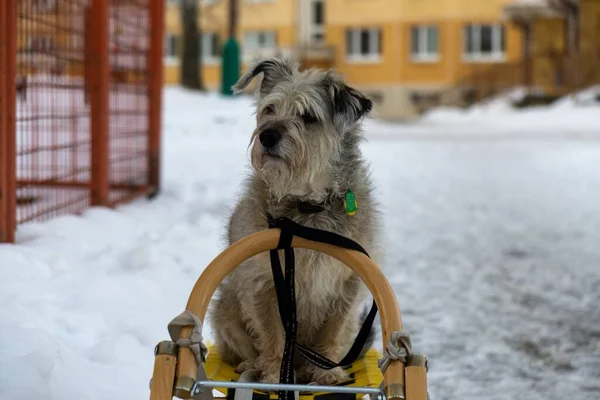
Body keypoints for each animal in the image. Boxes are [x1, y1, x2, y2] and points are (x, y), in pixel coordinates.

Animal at [209, 57, 382, 386]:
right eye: (269, 109)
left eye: (308, 116)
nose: (267, 136)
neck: (306, 208)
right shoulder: (263, 282)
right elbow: (272, 334)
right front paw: (274, 374)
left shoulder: (348, 283)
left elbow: (333, 330)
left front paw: (329, 373)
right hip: (224, 307)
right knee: (241, 346)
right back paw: (251, 366)